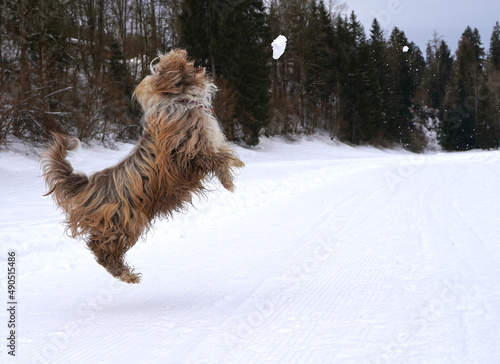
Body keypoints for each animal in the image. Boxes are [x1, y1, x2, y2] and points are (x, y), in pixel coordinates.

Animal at [42, 49, 245, 284]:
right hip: (125, 221)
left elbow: (222, 157)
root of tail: (88, 184)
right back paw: (126, 275)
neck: (183, 100)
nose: (182, 52)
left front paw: (230, 174)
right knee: (100, 248)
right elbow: (219, 159)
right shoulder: (187, 152)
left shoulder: (204, 148)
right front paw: (232, 175)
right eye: (171, 64)